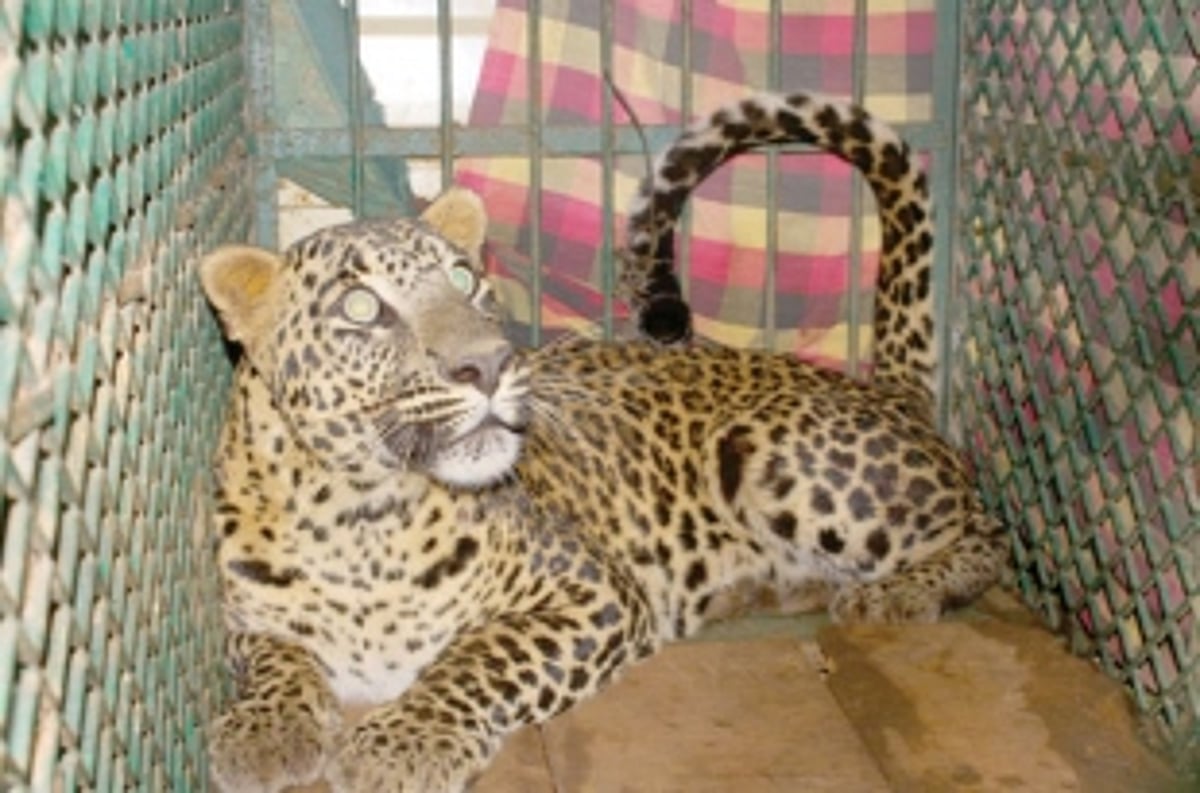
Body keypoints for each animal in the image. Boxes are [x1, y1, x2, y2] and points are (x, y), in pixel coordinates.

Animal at [200, 91, 1008, 793]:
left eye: (464, 277)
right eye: (362, 308)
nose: (490, 363)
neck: (359, 519)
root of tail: (883, 385)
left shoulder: (592, 593)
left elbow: (480, 656)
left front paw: (405, 740)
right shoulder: (241, 617)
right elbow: (273, 655)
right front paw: (263, 730)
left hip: (776, 454)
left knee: (987, 529)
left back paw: (899, 591)